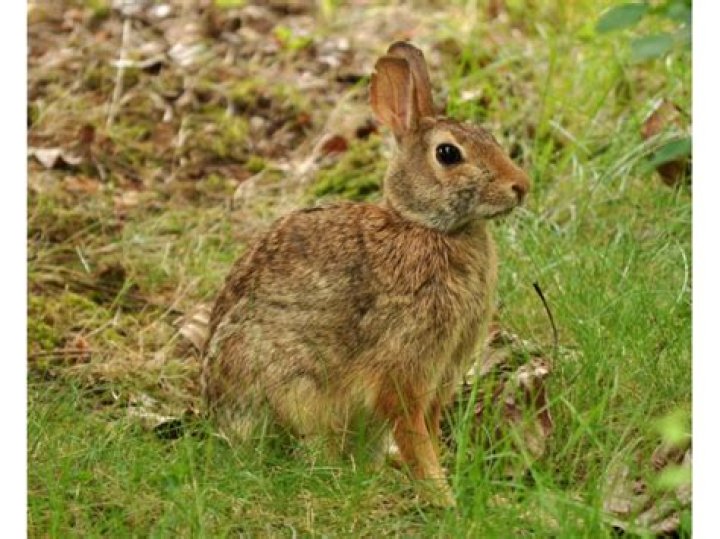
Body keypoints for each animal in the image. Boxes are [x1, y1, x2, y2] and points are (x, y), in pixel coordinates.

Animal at [201, 41, 530, 506]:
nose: (521, 186)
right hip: (295, 389)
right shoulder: (403, 364)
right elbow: (413, 432)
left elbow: (428, 428)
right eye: (448, 154)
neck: (427, 228)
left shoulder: (442, 374)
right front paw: (442, 496)